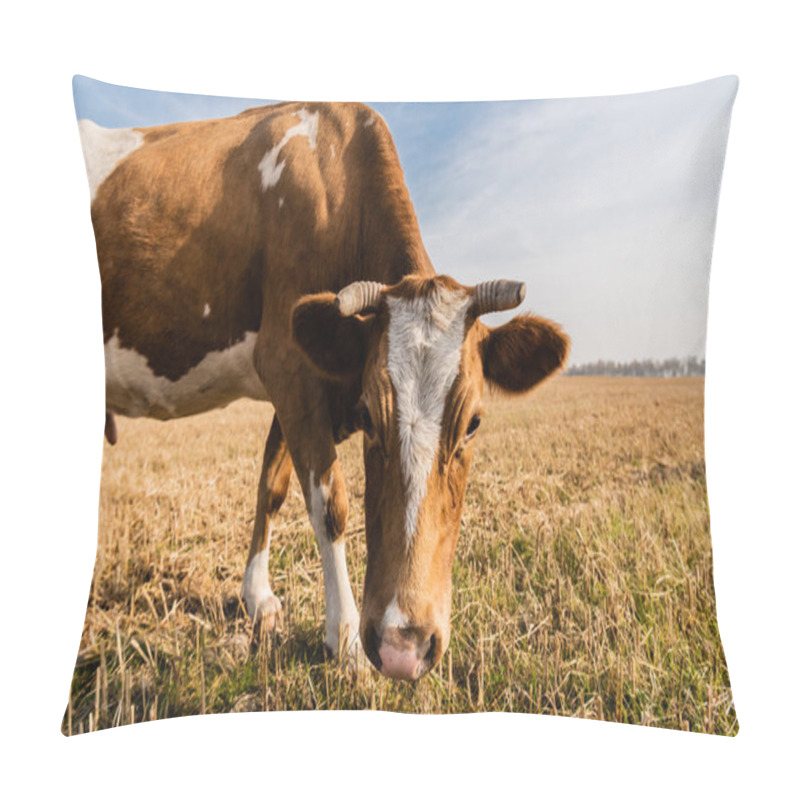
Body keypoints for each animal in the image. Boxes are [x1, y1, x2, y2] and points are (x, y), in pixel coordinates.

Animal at [78, 101, 568, 680]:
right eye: (372, 417)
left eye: (472, 422)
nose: (405, 645)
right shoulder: (288, 365)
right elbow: (329, 503)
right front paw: (347, 639)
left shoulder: (301, 382)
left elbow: (271, 486)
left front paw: (257, 596)